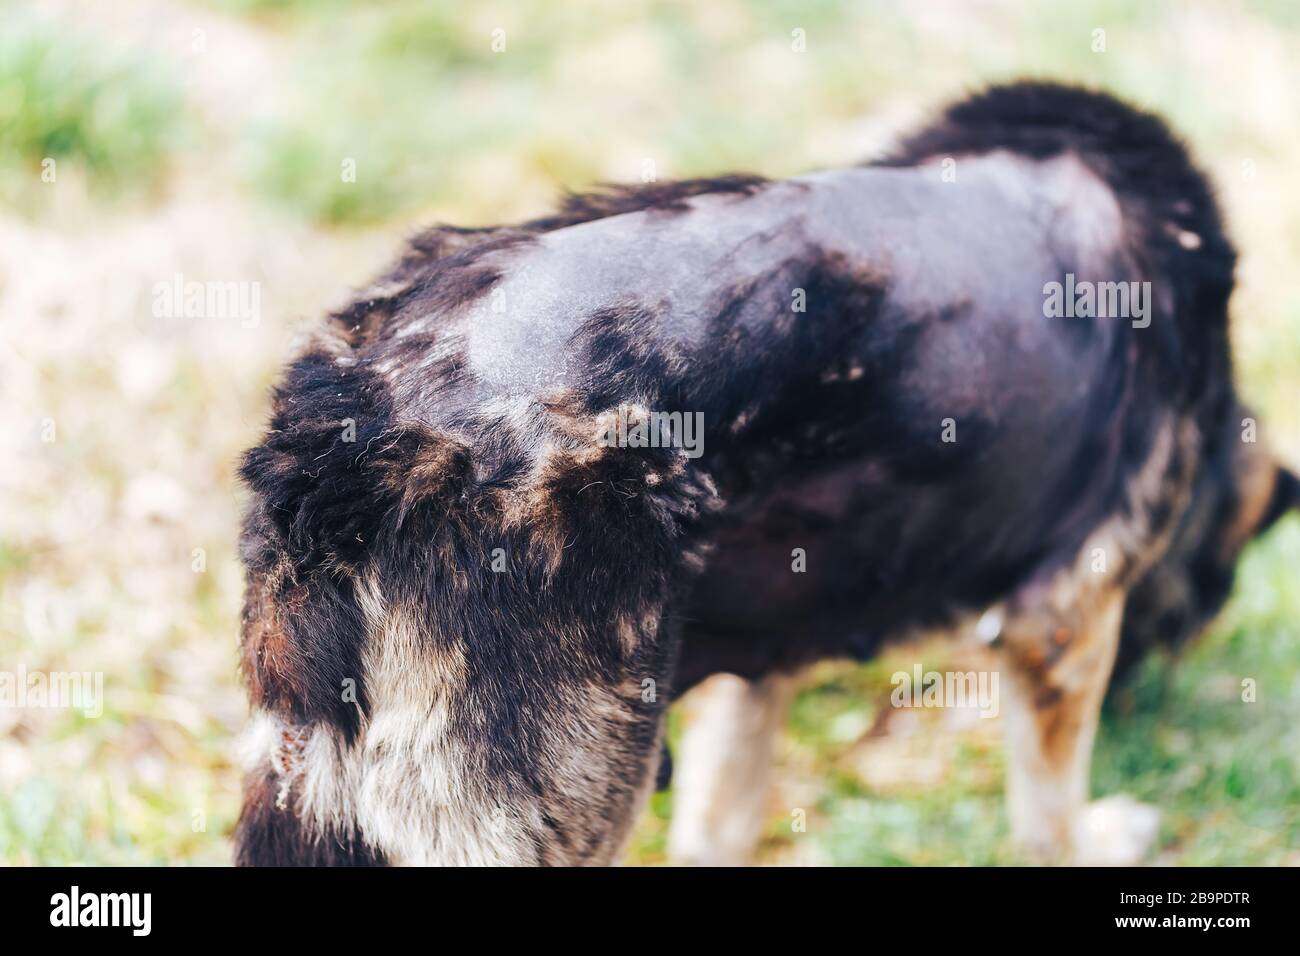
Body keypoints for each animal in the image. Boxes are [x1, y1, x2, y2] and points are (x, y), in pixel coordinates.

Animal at [228, 83, 1294, 868]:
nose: (1144, 705)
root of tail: (356, 415)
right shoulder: (1064, 624)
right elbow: (1051, 824)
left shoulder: (760, 663)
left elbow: (720, 818)